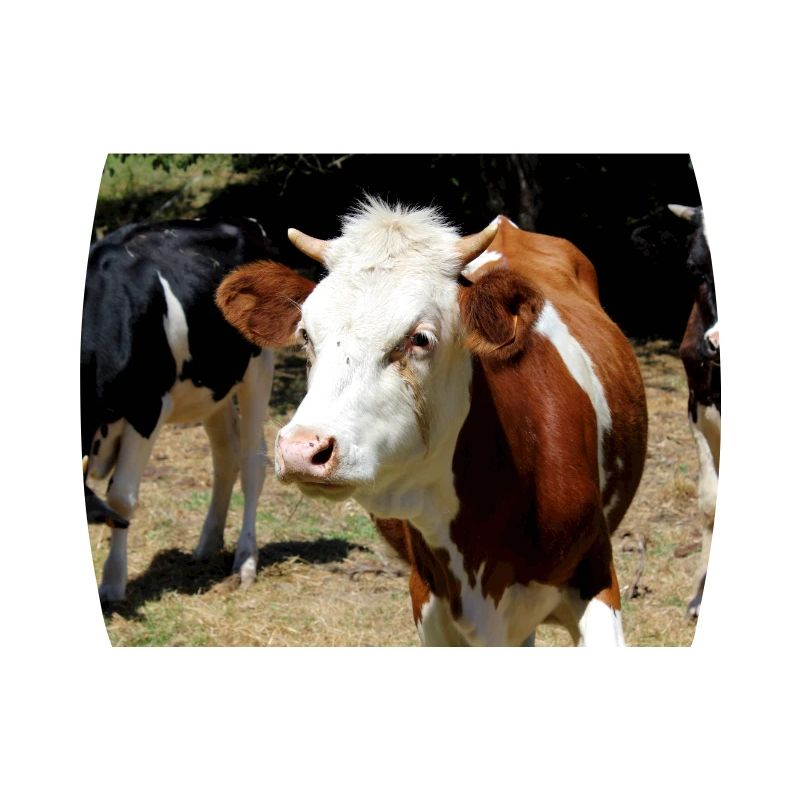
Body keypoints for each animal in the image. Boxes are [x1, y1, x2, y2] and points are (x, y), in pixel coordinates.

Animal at [82, 218, 275, 605]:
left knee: (252, 460)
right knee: (225, 455)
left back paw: (245, 560)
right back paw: (208, 544)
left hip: (258, 367)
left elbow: (121, 498)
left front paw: (112, 583)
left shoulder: (147, 408)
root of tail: (246, 224)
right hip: (212, 386)